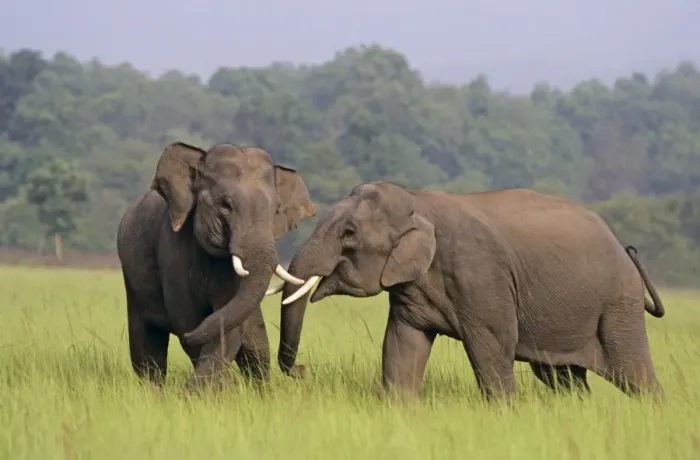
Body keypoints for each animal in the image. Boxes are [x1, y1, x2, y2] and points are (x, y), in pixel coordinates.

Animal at [116, 142, 316, 388]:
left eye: (275, 211)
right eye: (225, 205)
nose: (303, 369)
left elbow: (227, 325)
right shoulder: (171, 248)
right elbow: (187, 318)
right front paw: (213, 388)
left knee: (257, 346)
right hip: (131, 276)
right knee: (146, 347)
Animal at [274, 181, 666, 401]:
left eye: (349, 234)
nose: (302, 370)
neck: (418, 200)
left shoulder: (479, 276)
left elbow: (492, 347)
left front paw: (506, 413)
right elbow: (402, 344)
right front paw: (400, 407)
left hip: (617, 306)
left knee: (633, 374)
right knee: (562, 378)